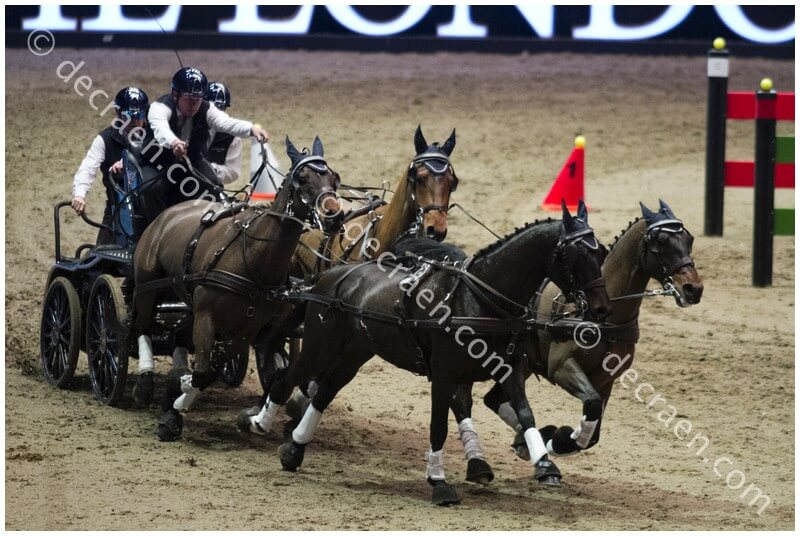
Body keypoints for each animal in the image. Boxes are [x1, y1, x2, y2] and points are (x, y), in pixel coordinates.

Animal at [130, 135, 344, 441]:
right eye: (302, 178)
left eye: (333, 177)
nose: (334, 216)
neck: (252, 258)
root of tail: (167, 215)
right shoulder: (208, 317)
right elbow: (203, 372)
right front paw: (176, 402)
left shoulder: (249, 330)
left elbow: (218, 370)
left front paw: (177, 397)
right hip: (147, 287)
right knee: (143, 326)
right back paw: (145, 383)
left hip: (190, 305)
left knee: (178, 336)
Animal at [239, 201, 611, 505]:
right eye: (578, 255)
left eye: (602, 252)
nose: (601, 309)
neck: (479, 301)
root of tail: (331, 276)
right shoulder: (444, 376)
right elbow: (438, 428)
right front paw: (439, 482)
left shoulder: (509, 370)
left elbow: (526, 413)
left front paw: (544, 461)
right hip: (321, 347)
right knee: (286, 379)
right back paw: (258, 422)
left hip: (355, 354)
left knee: (324, 392)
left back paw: (295, 449)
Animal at [447, 200, 704, 484]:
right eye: (661, 241)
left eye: (689, 238)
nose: (693, 289)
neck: (603, 320)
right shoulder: (562, 367)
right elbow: (590, 404)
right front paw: (557, 440)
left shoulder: (606, 380)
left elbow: (594, 429)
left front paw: (555, 441)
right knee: (465, 401)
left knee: (493, 399)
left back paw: (531, 448)